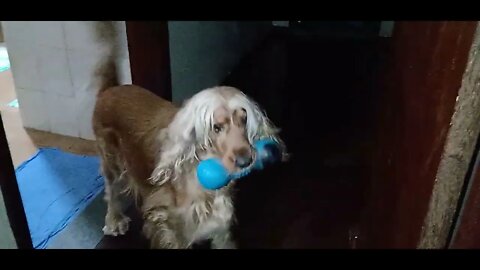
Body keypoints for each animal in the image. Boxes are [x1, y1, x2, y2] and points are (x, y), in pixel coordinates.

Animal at [93, 21, 286, 249]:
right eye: (216, 127)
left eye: (244, 119)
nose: (246, 161)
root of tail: (110, 90)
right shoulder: (169, 221)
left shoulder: (219, 216)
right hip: (112, 161)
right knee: (111, 191)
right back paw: (114, 220)